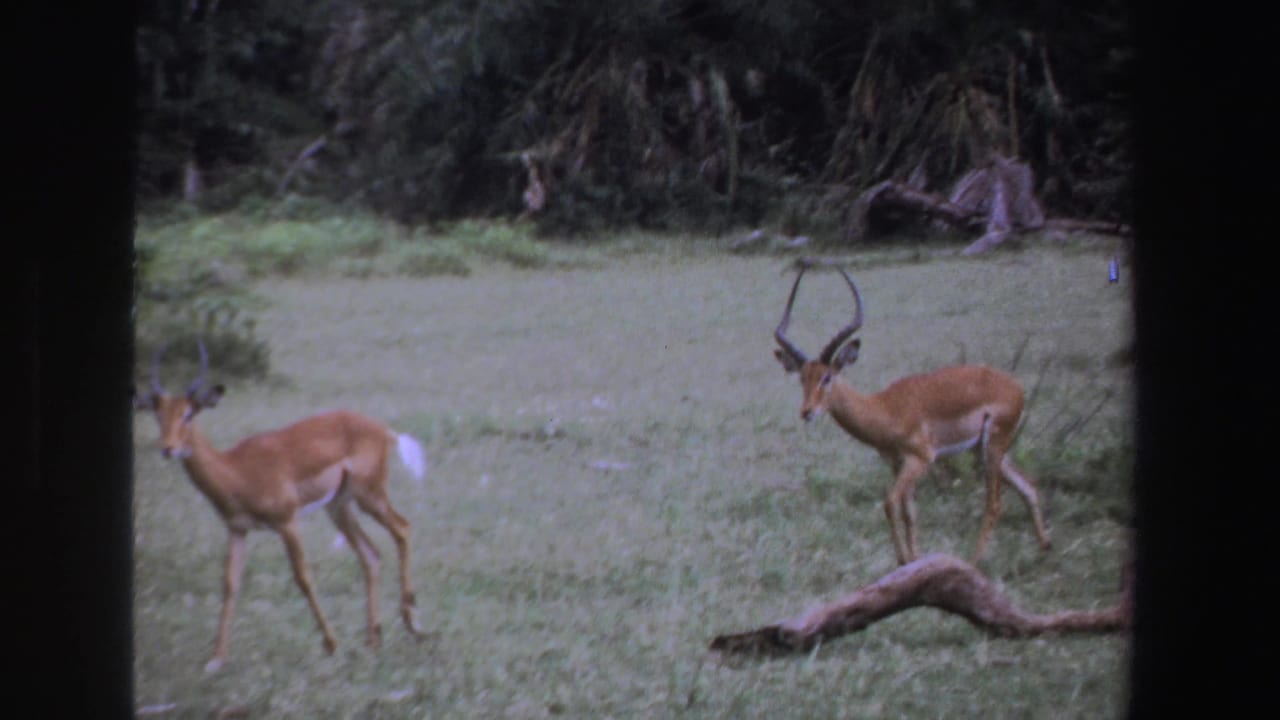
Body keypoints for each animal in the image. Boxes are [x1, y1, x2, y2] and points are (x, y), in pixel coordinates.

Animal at [134, 342, 427, 672]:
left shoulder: (287, 522)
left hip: (369, 496)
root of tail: (383, 430)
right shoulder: (237, 529)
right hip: (339, 507)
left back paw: (413, 625)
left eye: (189, 413)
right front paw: (216, 659)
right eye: (158, 414)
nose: (168, 449)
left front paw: (331, 643)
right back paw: (373, 640)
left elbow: (303, 578)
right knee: (371, 554)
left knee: (402, 528)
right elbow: (230, 584)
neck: (236, 470)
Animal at [772, 261, 1051, 565]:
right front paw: (915, 560)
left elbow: (889, 503)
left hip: (992, 448)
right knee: (1029, 487)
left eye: (827, 377)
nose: (807, 411)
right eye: (802, 378)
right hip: (990, 450)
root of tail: (1017, 388)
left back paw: (974, 561)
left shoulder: (920, 459)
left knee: (995, 503)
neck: (885, 408)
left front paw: (905, 561)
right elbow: (910, 514)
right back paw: (1044, 548)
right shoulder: (897, 463)